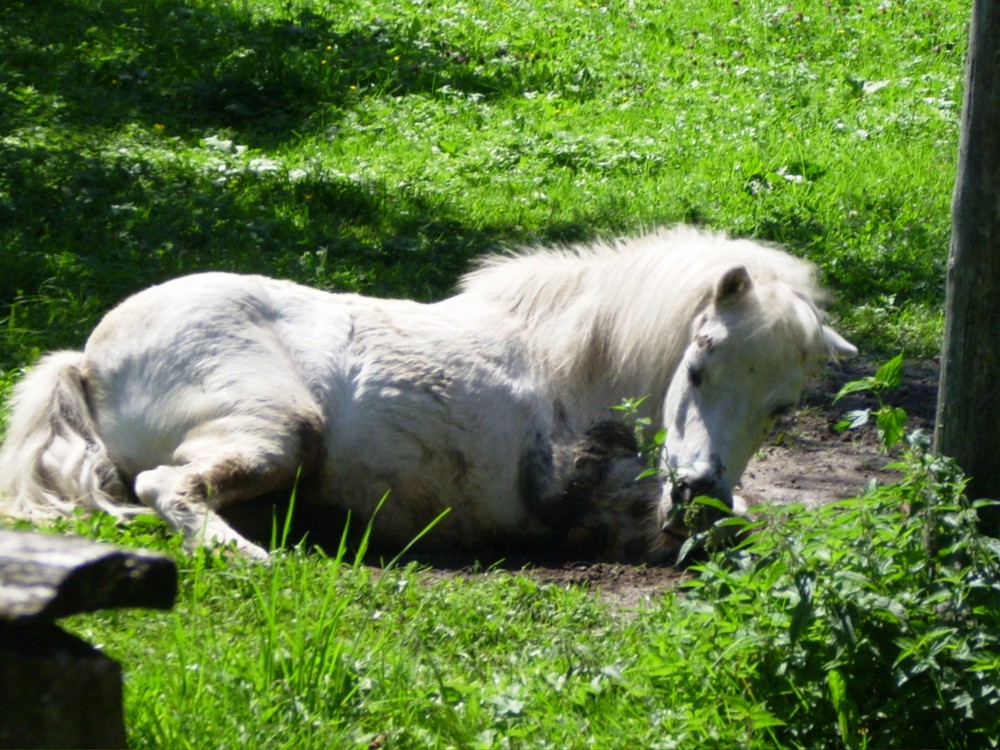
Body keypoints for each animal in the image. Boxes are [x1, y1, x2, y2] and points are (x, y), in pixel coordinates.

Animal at [0, 229, 856, 564]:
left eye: (780, 408)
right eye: (700, 366)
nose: (700, 490)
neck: (577, 367)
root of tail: (89, 358)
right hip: (279, 430)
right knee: (165, 486)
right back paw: (252, 555)